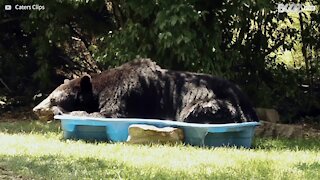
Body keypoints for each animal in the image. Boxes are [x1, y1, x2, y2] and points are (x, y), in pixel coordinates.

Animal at [33, 58, 258, 123]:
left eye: (52, 98)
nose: (36, 109)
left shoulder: (126, 93)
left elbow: (112, 114)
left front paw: (65, 112)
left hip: (220, 102)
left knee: (195, 111)